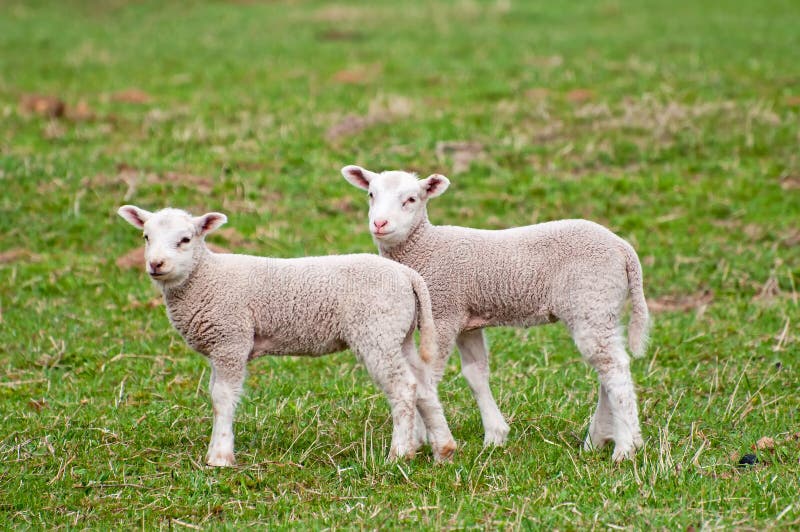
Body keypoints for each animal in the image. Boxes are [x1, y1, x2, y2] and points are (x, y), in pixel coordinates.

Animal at [118, 204, 456, 466]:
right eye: (146, 237)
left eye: (186, 239)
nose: (155, 264)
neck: (206, 277)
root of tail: (408, 276)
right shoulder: (219, 345)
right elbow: (214, 394)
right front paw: (216, 450)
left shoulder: (231, 339)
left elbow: (223, 397)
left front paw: (220, 457)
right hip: (400, 333)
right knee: (424, 386)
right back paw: (443, 449)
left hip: (376, 331)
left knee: (403, 387)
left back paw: (399, 454)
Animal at [342, 166, 648, 462]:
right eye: (371, 194)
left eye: (411, 199)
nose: (380, 224)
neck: (425, 247)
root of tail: (623, 248)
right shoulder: (466, 320)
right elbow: (475, 374)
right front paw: (495, 436)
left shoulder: (444, 313)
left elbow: (427, 376)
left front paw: (419, 438)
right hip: (601, 307)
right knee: (606, 368)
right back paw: (596, 441)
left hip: (591, 299)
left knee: (614, 369)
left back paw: (626, 448)